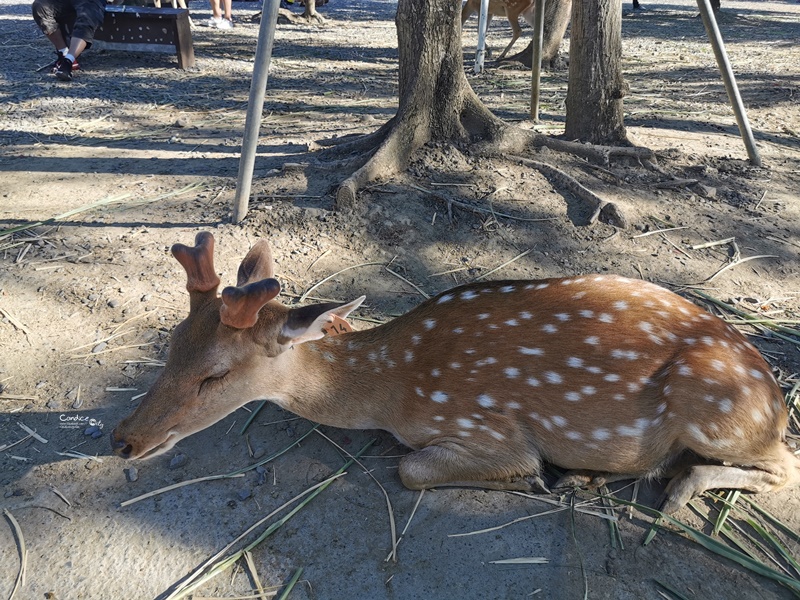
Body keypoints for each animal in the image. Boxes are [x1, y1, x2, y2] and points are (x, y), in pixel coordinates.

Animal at [109, 232, 796, 512]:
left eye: (214, 376)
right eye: (171, 343)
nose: (123, 440)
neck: (391, 389)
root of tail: (775, 397)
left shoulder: (487, 427)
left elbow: (412, 469)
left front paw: (535, 479)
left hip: (718, 408)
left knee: (783, 466)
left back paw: (672, 486)